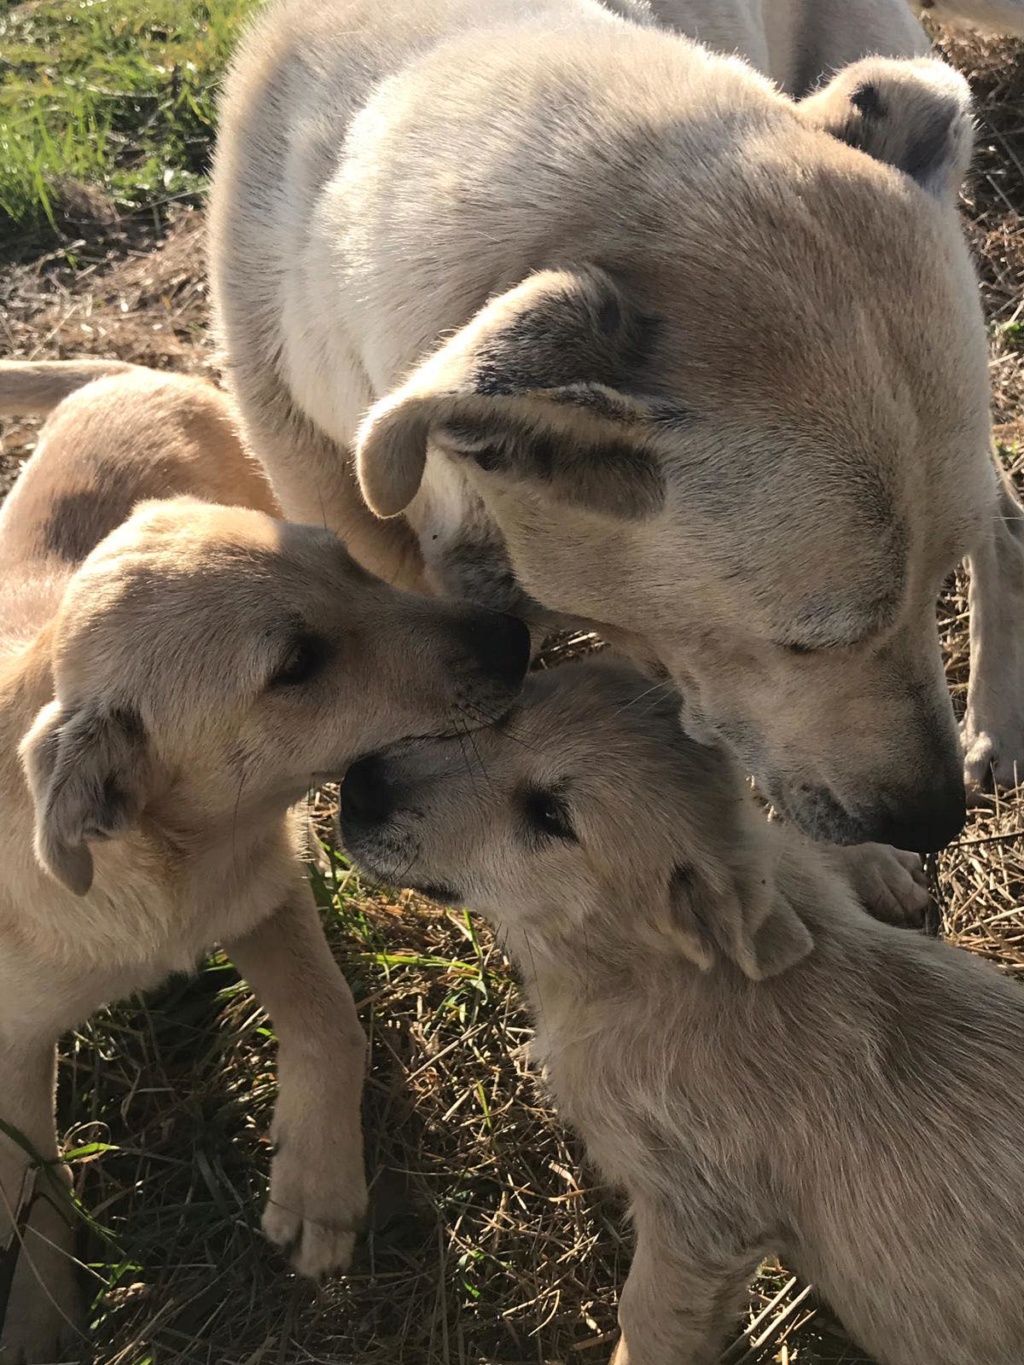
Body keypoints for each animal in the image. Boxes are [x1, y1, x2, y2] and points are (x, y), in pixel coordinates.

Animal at [0, 363, 529, 1365]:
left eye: (349, 566)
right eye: (296, 665)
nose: (514, 639)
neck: (158, 859)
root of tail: (129, 372)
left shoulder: (260, 884)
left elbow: (330, 1016)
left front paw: (318, 1185)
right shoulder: (7, 1043)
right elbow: (28, 1182)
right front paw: (42, 1317)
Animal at [342, 657, 1024, 1365]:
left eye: (551, 814)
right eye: (501, 717)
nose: (358, 789)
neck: (653, 974)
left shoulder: (696, 1221)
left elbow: (646, 1322)